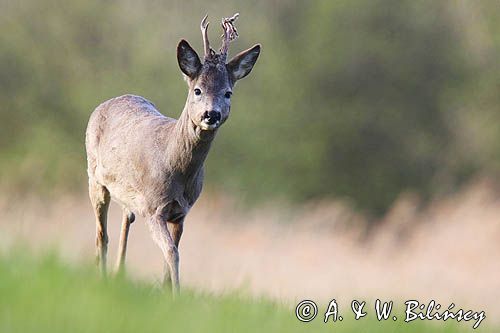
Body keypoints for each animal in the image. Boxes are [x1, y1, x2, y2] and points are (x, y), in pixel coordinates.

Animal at [84, 14, 260, 292]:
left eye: (228, 93)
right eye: (197, 90)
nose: (211, 114)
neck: (174, 167)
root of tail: (110, 101)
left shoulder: (181, 212)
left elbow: (172, 252)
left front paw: (167, 290)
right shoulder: (153, 207)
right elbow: (171, 252)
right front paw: (176, 294)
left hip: (127, 194)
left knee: (125, 218)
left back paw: (119, 274)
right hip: (94, 178)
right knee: (102, 234)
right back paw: (102, 277)